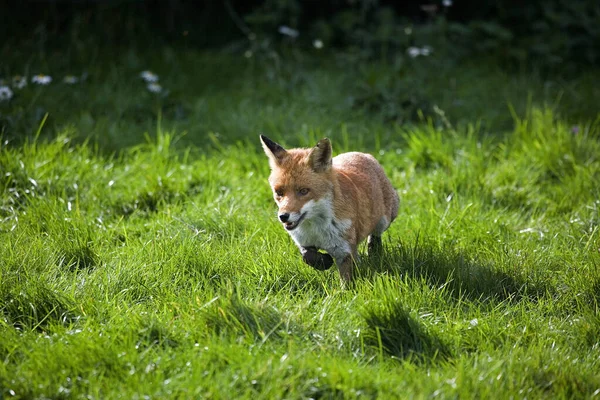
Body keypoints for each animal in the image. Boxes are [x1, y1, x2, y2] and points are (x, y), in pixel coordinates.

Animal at [262, 135, 398, 284]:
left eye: (303, 191)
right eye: (279, 192)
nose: (283, 216)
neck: (317, 229)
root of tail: (362, 153)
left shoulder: (343, 250)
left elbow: (346, 281)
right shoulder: (304, 241)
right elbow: (307, 256)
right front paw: (324, 261)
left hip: (386, 218)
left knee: (375, 234)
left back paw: (374, 251)